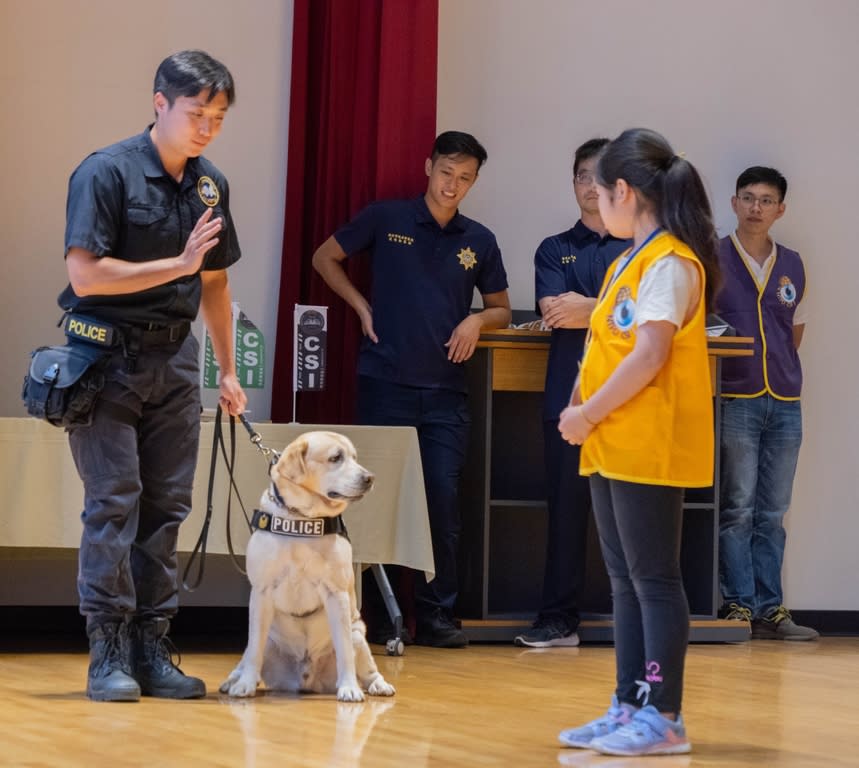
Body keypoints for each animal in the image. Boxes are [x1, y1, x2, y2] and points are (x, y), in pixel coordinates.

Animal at [222, 432, 396, 704]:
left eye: (354, 457)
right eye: (335, 458)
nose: (369, 477)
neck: (301, 519)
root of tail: (306, 678)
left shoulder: (337, 593)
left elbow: (344, 650)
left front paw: (349, 687)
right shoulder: (261, 591)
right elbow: (254, 650)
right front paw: (245, 684)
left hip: (358, 634)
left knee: (367, 667)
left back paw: (379, 685)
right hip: (269, 638)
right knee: (251, 649)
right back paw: (233, 679)